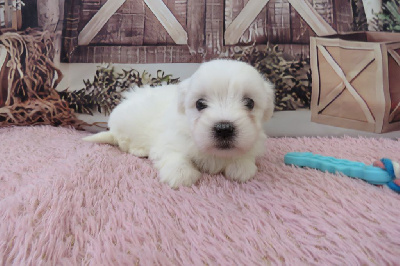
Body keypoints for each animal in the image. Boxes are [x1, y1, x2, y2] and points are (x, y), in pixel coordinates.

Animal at [83, 60, 274, 188]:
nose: (224, 129)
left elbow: (245, 154)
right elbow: (174, 154)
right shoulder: (169, 140)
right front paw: (181, 174)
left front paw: (241, 166)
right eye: (200, 104)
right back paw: (139, 149)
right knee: (124, 143)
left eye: (249, 103)